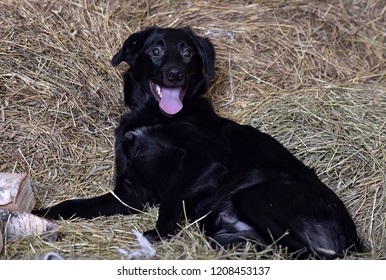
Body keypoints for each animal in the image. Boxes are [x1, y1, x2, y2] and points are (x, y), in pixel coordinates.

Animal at [34, 27, 362, 260]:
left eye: (187, 53)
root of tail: (353, 236)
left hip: (254, 194)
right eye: (155, 51)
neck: (154, 115)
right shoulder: (131, 193)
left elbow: (171, 197)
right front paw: (40, 214)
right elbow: (74, 204)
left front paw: (160, 232)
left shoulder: (206, 159)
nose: (175, 74)